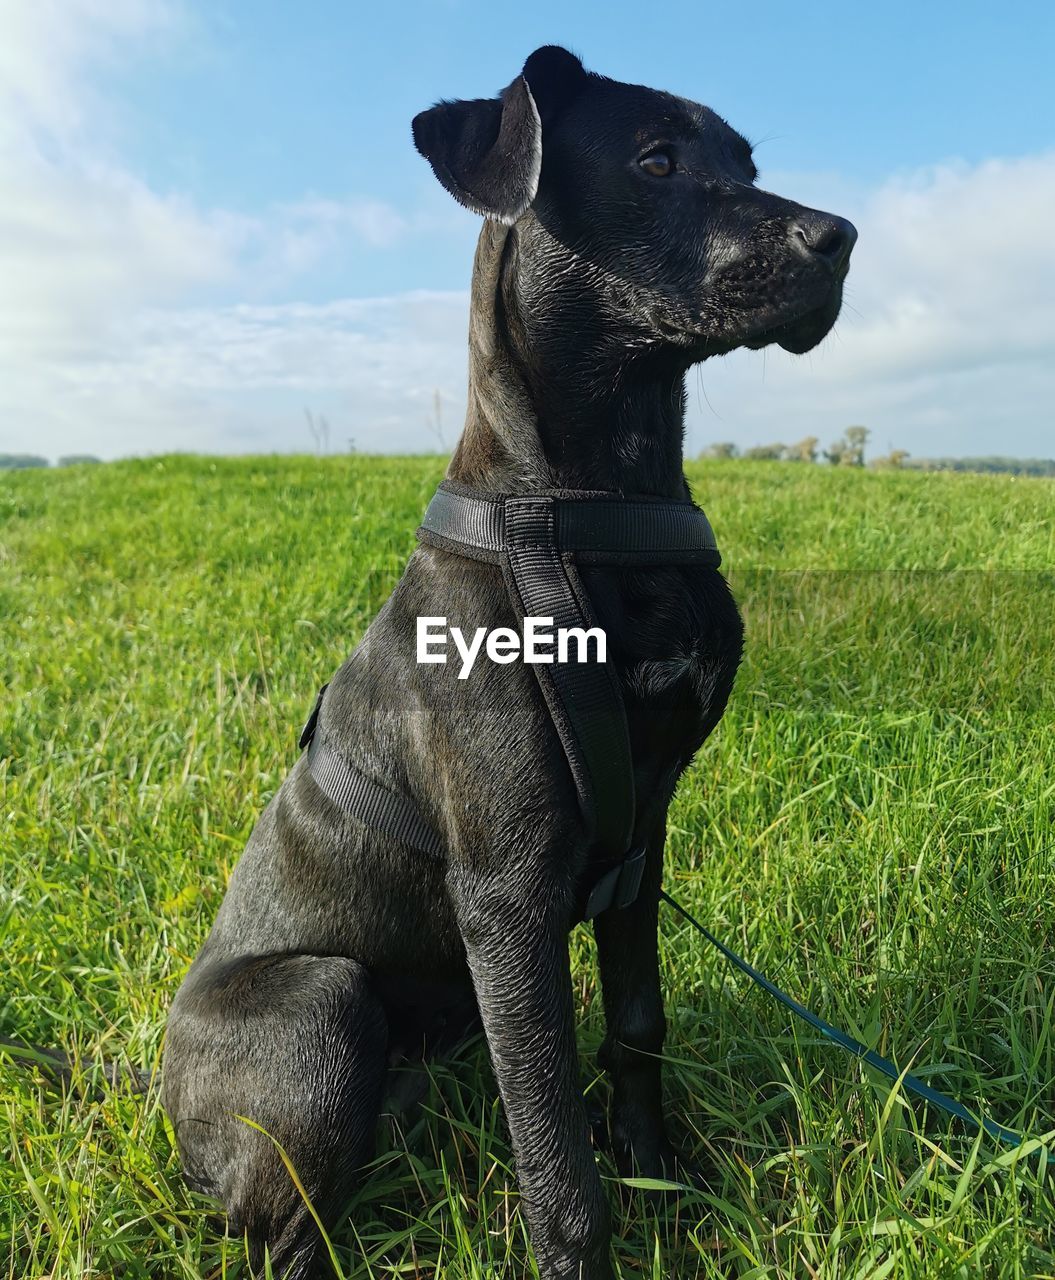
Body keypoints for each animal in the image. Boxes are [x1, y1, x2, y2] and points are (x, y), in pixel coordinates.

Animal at [162, 42, 855, 1280]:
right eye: (655, 160)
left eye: (744, 160)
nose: (841, 239)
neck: (585, 504)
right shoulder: (505, 892)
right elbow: (549, 1139)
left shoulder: (640, 840)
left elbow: (633, 1027)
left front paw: (664, 1180)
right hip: (324, 1003)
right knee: (282, 1226)